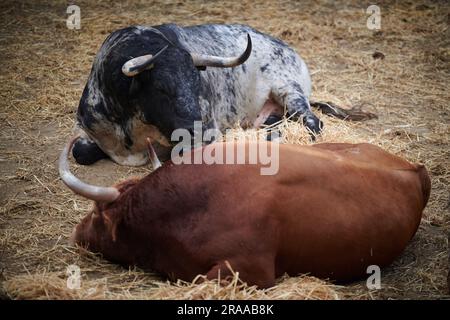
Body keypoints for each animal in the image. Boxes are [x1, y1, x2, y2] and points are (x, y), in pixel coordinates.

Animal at [72, 23, 370, 166]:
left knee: (312, 121)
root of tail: (288, 48)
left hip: (289, 91)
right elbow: (80, 151)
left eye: (197, 83)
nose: (199, 130)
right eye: (161, 88)